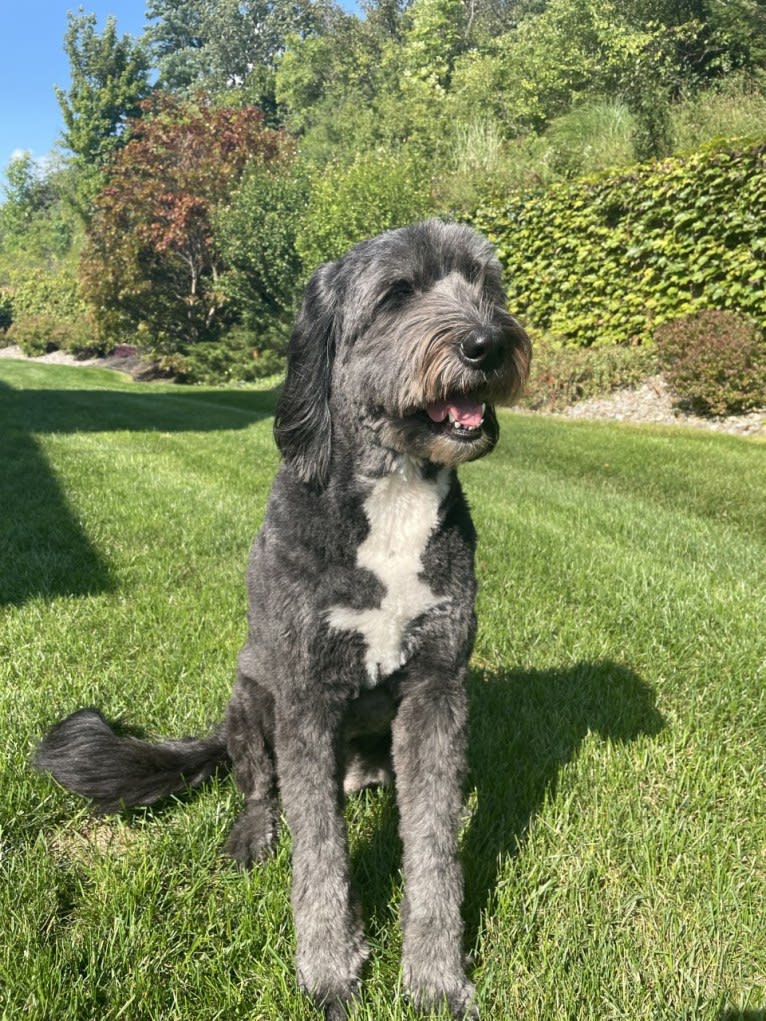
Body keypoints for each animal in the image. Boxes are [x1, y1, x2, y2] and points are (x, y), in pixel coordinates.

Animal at [32, 219, 531, 1016]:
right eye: (397, 294)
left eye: (487, 285)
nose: (489, 343)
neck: (392, 497)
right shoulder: (304, 695)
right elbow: (319, 851)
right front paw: (330, 969)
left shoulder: (437, 687)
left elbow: (434, 848)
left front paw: (434, 976)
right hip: (248, 701)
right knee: (260, 788)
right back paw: (254, 834)